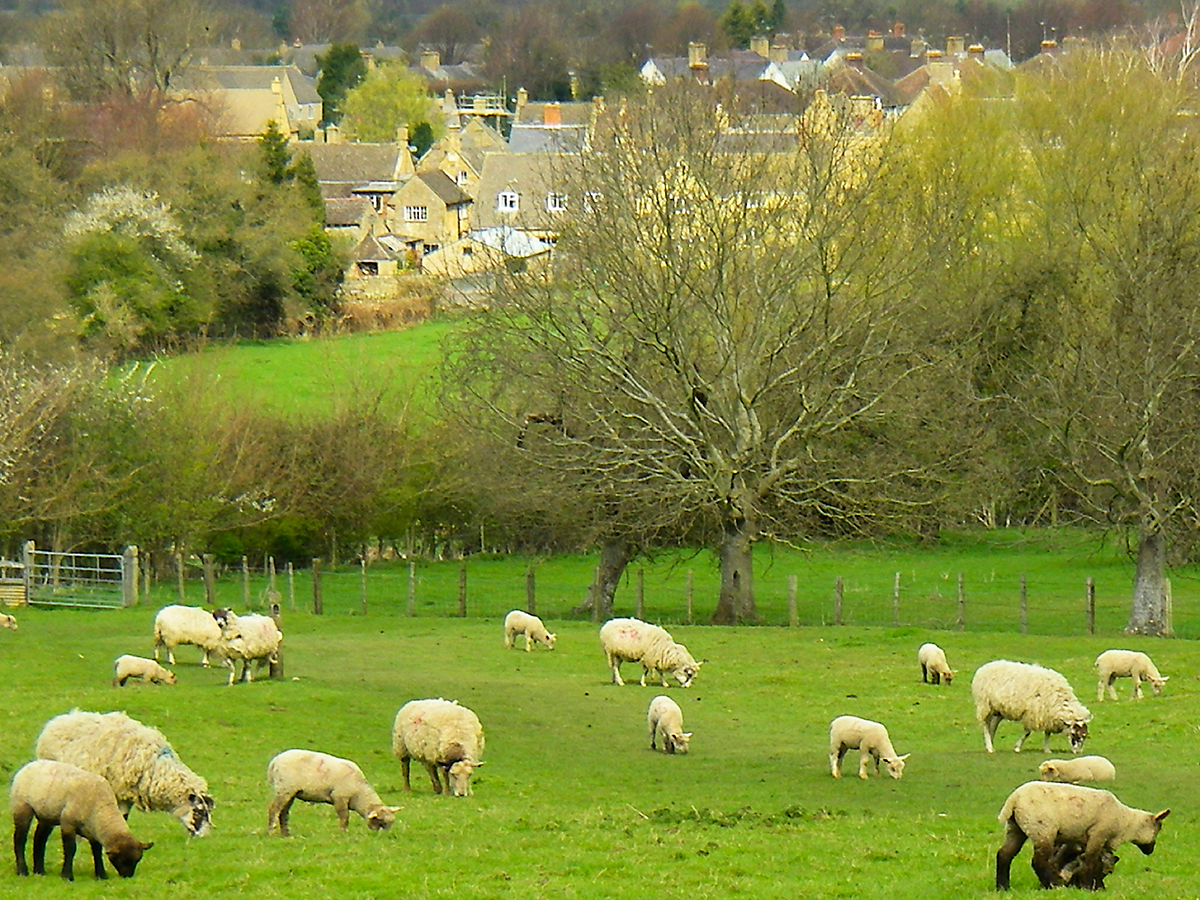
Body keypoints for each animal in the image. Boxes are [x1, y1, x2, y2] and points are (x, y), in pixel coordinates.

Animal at [10, 763, 153, 883]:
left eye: (137, 859)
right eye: (123, 860)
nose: (128, 876)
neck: (101, 807)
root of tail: (27, 766)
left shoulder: (92, 830)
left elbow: (97, 851)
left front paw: (101, 875)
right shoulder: (68, 823)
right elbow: (70, 849)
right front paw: (67, 876)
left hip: (46, 814)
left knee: (40, 838)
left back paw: (39, 871)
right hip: (22, 806)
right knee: (19, 839)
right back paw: (22, 871)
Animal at [36, 710, 216, 840]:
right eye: (199, 811)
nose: (204, 836)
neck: (156, 766)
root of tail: (57, 720)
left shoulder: (125, 796)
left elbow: (123, 817)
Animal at [266, 748, 398, 840]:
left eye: (391, 822)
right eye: (381, 822)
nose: (385, 837)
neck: (359, 792)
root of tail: (274, 762)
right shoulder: (339, 797)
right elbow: (344, 817)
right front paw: (343, 833)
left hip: (290, 792)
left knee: (283, 812)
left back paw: (286, 834)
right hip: (284, 789)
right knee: (274, 809)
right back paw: (271, 832)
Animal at [993, 777, 1171, 892]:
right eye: (1159, 827)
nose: (1150, 851)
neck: (1124, 821)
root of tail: (1014, 799)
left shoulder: (1088, 840)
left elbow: (1095, 862)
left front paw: (1096, 886)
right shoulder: (1098, 834)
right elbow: (1089, 860)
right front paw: (1088, 887)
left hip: (1016, 828)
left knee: (1004, 855)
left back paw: (1002, 887)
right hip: (1042, 829)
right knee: (1038, 861)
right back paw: (1054, 884)